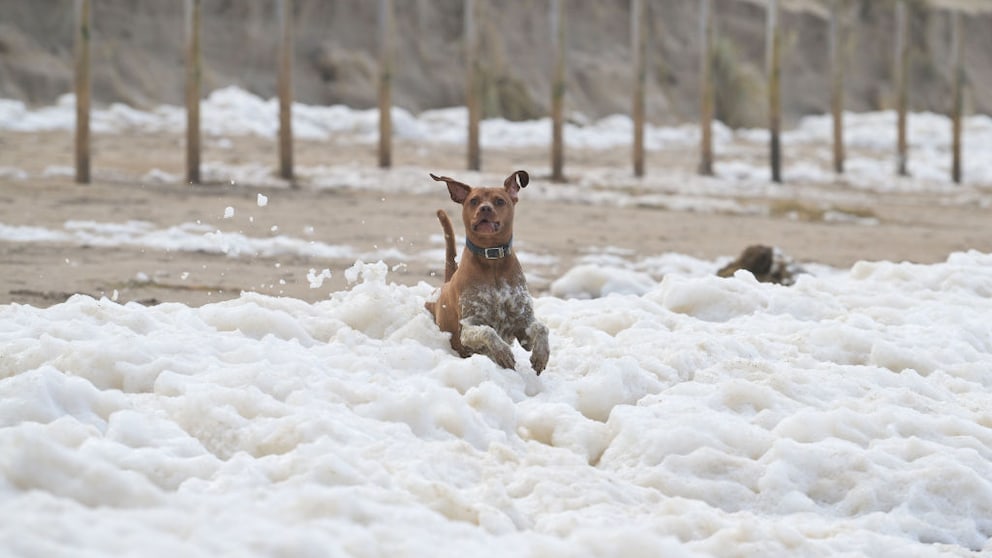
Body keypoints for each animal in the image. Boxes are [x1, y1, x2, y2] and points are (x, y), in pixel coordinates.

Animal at [424, 171, 552, 376]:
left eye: (499, 201)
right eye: (474, 200)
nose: (485, 208)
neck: (493, 262)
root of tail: (446, 282)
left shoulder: (523, 325)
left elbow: (541, 328)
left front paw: (541, 356)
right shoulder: (468, 328)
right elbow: (487, 331)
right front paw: (503, 354)